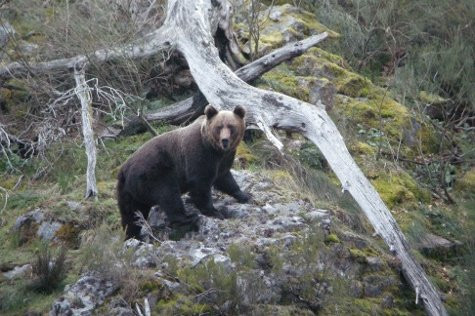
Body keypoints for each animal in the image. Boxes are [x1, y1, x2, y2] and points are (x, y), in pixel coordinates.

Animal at [117, 105, 251, 238]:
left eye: (231, 126)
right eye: (218, 127)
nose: (224, 140)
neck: (215, 149)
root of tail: (124, 169)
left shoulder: (223, 160)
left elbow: (225, 178)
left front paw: (245, 195)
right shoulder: (199, 154)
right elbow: (200, 184)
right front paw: (214, 212)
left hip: (128, 191)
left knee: (131, 214)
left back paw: (134, 235)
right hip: (154, 173)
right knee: (168, 195)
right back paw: (188, 217)